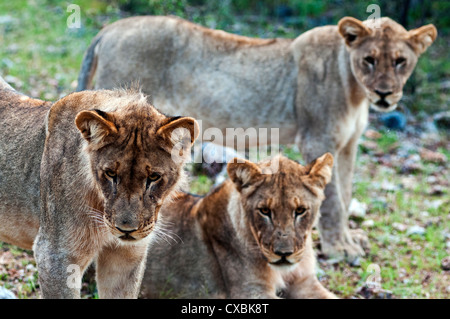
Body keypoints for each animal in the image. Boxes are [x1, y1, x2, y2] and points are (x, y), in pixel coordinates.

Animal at [76, 15, 436, 262]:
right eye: (369, 60)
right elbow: (333, 200)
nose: (385, 94)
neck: (355, 88)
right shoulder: (318, 139)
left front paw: (349, 240)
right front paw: (339, 249)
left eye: (401, 61)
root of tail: (109, 29)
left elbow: (345, 195)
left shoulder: (347, 146)